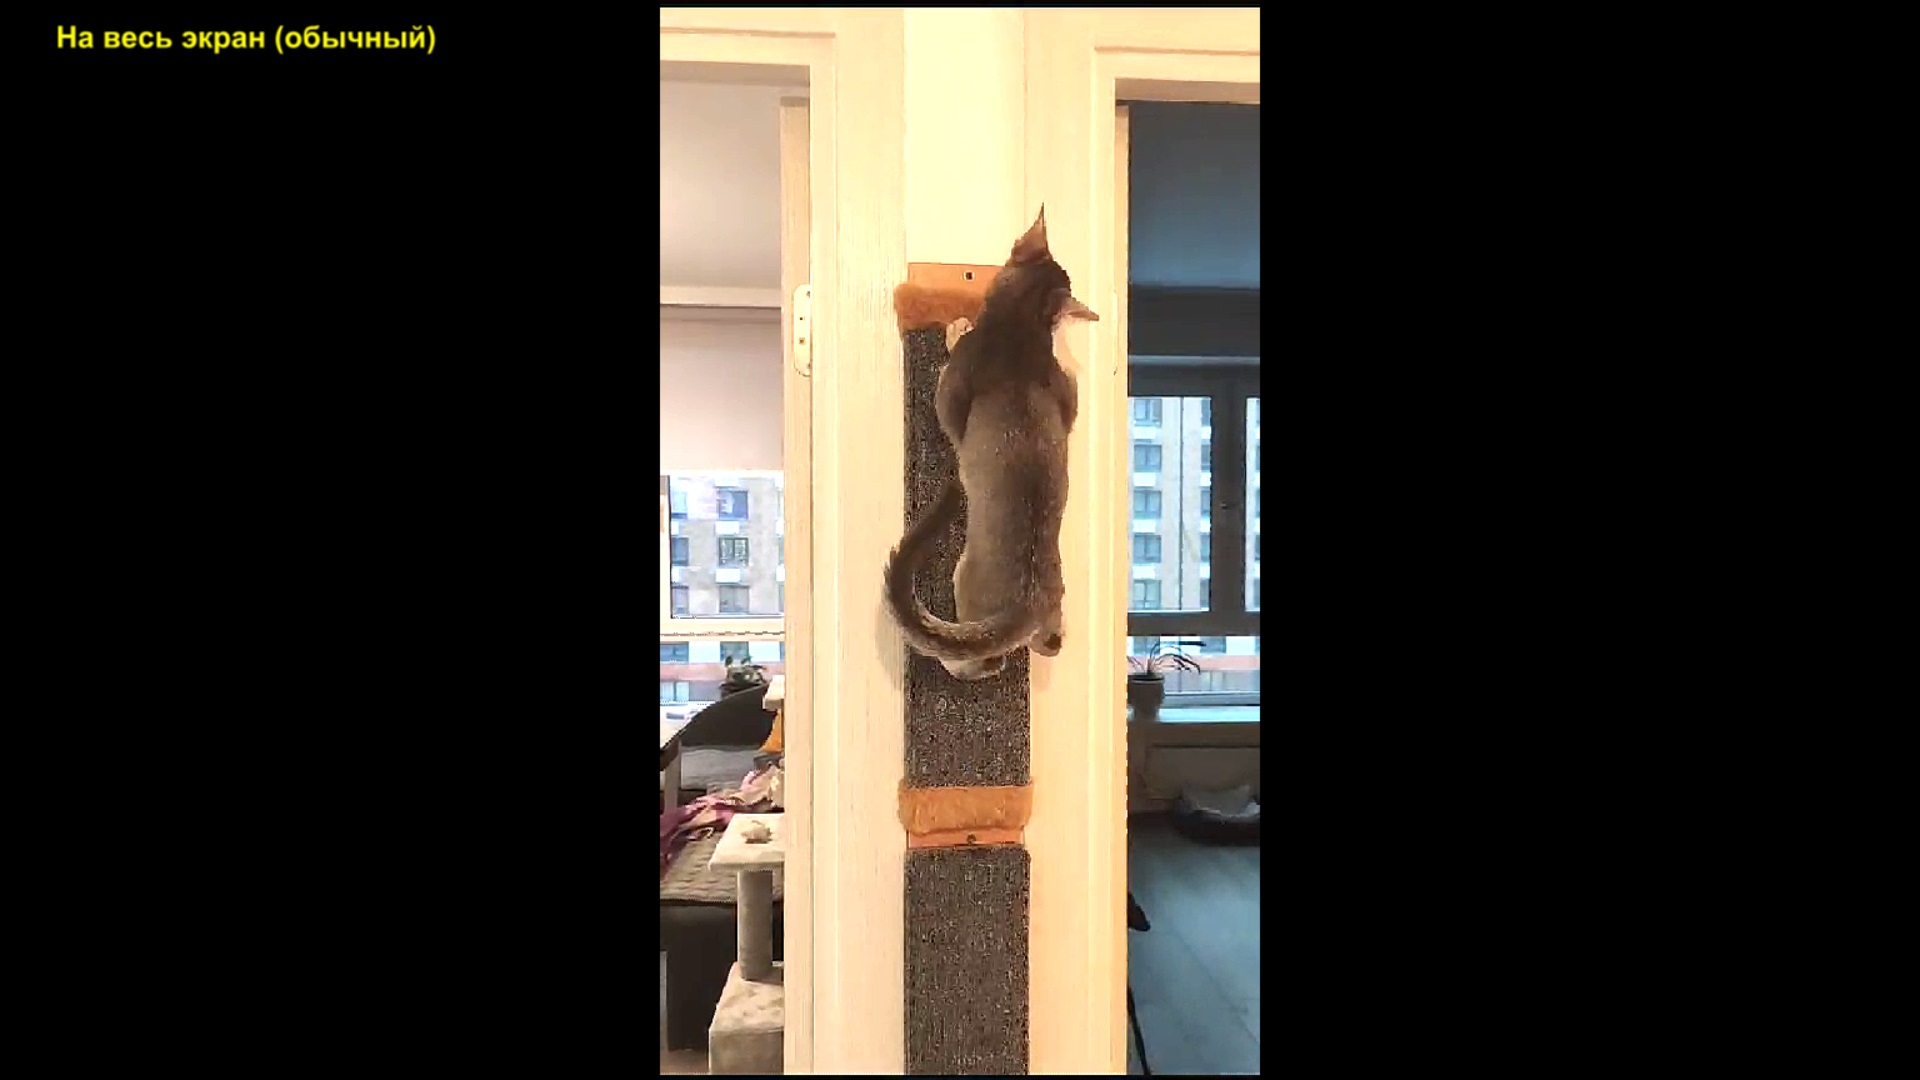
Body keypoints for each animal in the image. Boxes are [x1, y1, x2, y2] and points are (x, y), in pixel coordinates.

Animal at [884, 206, 1098, 680]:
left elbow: (949, 413)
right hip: (1052, 613)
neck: (1019, 328)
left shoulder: (953, 395)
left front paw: (955, 327)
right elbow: (1070, 399)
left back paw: (951, 661)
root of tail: (1032, 603)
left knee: (982, 659)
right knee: (1048, 645)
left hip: (965, 588)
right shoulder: (1064, 395)